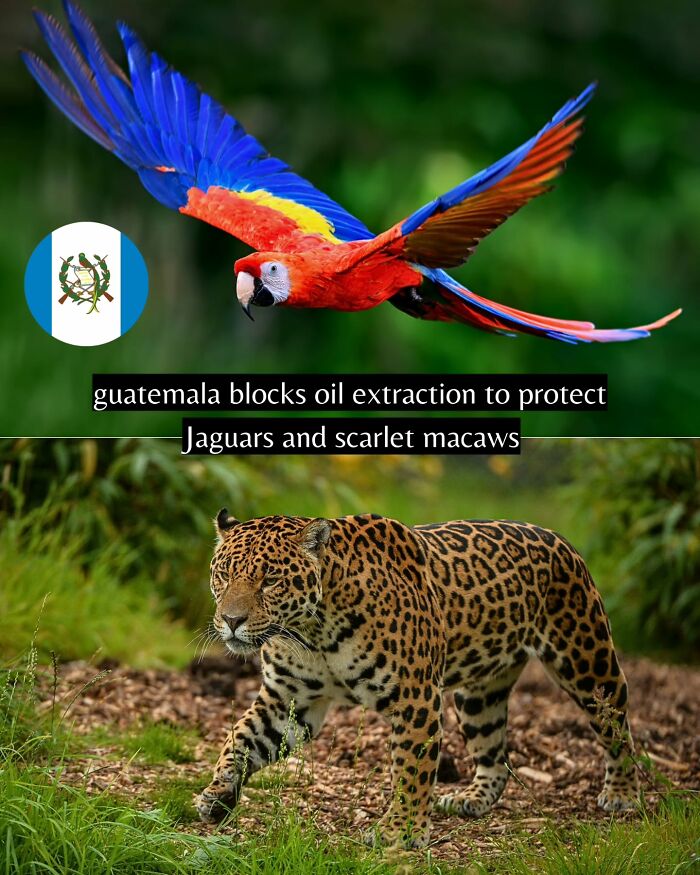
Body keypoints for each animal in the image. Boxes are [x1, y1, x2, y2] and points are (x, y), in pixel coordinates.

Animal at [193, 511, 638, 848]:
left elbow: (413, 766)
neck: (312, 632)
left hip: (588, 662)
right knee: (494, 753)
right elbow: (240, 737)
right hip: (479, 696)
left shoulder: (416, 698)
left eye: (270, 579)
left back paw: (623, 794)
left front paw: (400, 831)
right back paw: (472, 799)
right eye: (224, 574)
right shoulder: (290, 700)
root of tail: (556, 537)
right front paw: (218, 793)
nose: (231, 620)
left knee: (617, 728)